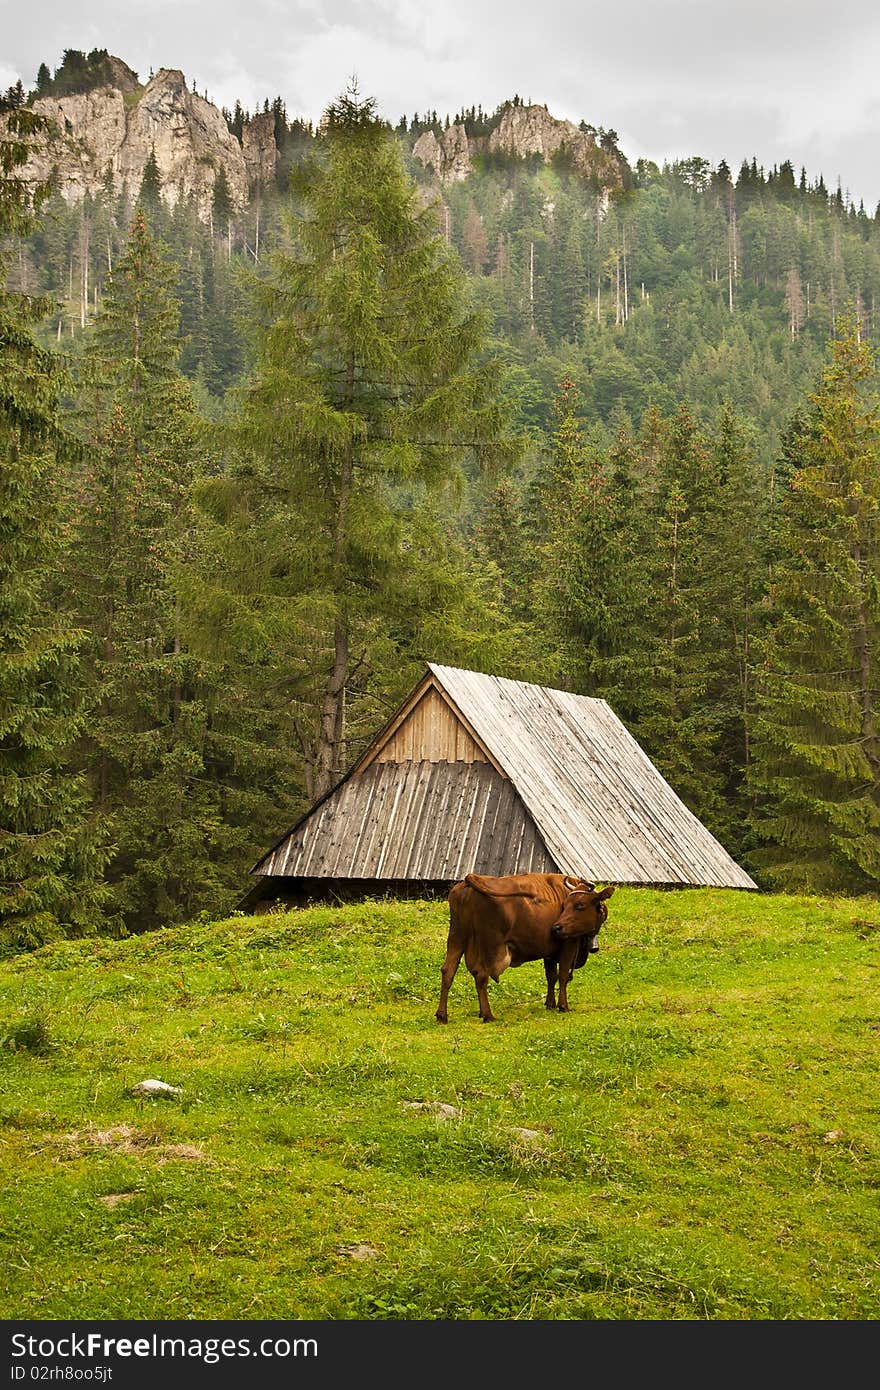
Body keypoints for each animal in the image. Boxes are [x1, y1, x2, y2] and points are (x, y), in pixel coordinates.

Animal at [430, 872, 611, 1028]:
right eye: (567, 905)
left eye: (580, 905)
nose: (557, 928)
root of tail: (470, 880)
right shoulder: (569, 944)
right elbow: (563, 975)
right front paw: (563, 1006)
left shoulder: (549, 952)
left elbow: (551, 976)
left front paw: (550, 1004)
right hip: (490, 946)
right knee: (481, 975)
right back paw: (488, 1015)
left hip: (456, 938)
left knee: (448, 971)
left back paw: (442, 1015)